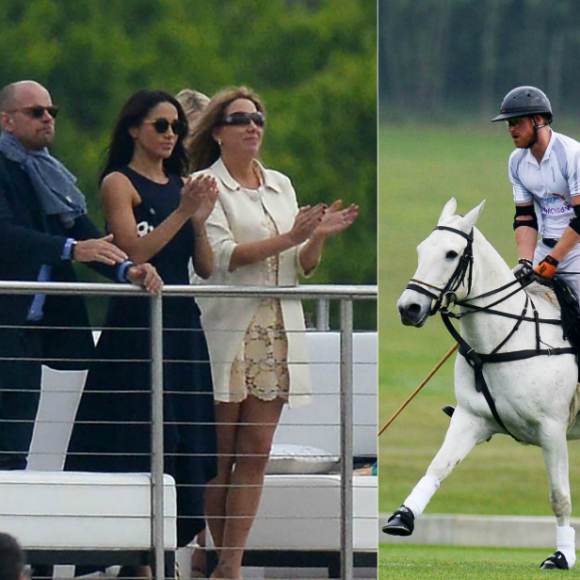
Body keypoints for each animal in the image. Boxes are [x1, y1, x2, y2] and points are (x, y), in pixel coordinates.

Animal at [386, 199, 580, 572]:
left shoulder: (552, 429)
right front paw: (402, 517)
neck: (500, 344)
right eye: (421, 250)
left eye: (451, 254)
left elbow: (559, 496)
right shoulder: (471, 419)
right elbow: (438, 466)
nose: (409, 308)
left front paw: (562, 556)